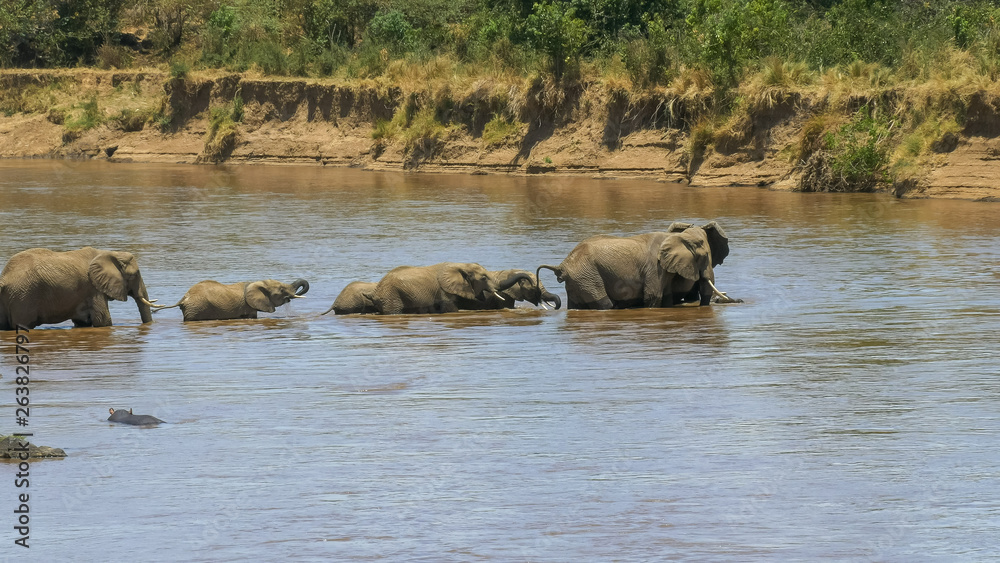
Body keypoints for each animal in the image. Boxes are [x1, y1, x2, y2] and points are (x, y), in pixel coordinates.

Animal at [0, 247, 157, 329]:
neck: (109, 253)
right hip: (23, 296)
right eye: (134, 274)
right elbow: (103, 321)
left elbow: (83, 322)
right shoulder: (93, 289)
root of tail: (4, 277)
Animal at [536, 221, 732, 310]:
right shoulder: (655, 268)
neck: (676, 237)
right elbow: (653, 296)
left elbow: (667, 297)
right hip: (587, 276)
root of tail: (563, 265)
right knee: (605, 304)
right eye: (704, 257)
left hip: (578, 280)